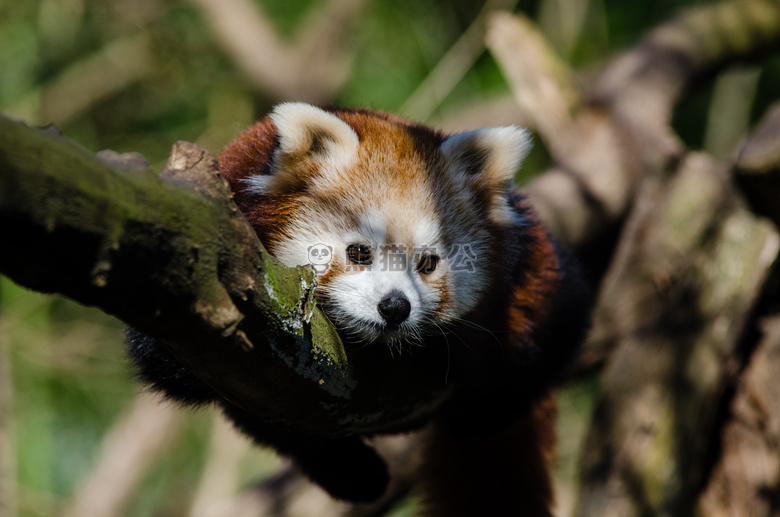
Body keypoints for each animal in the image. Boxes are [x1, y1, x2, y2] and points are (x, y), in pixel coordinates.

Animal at [129, 103, 592, 512]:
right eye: (358, 253)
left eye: (427, 263)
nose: (395, 307)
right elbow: (168, 362)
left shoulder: (529, 262)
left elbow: (552, 331)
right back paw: (352, 473)